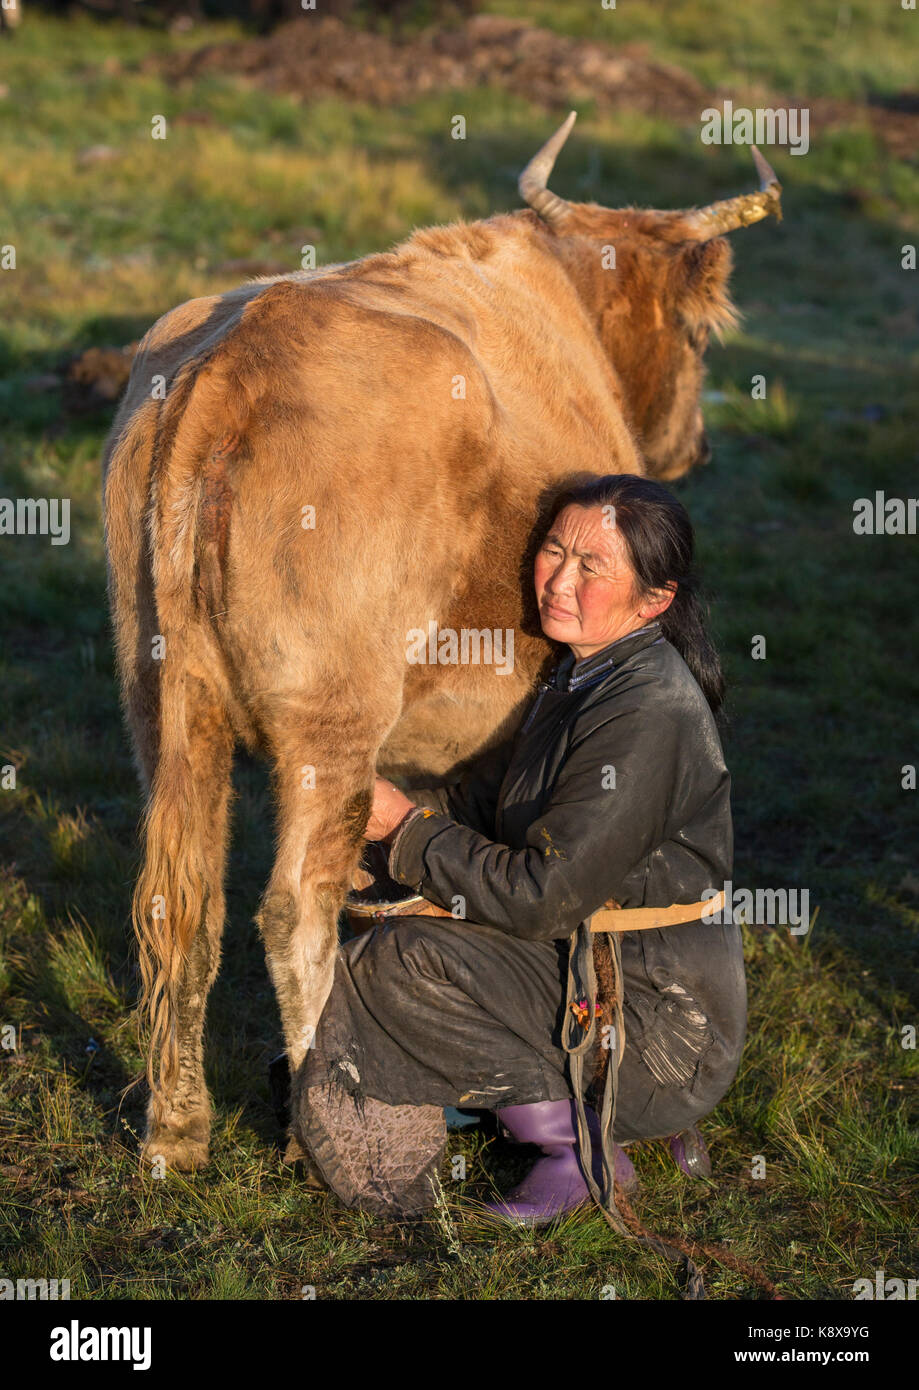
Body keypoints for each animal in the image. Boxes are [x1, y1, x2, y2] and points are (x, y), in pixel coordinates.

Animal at [102, 112, 781, 1171]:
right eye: (696, 331)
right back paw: (322, 1133)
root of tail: (229, 365)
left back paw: (177, 1133)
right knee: (294, 913)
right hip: (327, 723)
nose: (695, 444)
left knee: (185, 904)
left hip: (168, 710)